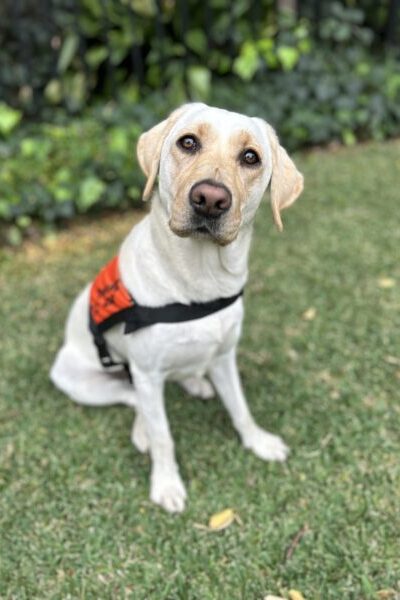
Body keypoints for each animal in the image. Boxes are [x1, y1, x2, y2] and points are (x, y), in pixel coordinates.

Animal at [51, 102, 304, 510]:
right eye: (188, 142)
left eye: (251, 157)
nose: (210, 199)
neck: (198, 282)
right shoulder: (148, 373)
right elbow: (163, 436)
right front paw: (166, 484)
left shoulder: (225, 356)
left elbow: (240, 408)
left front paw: (258, 441)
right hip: (84, 381)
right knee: (134, 400)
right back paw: (143, 430)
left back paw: (196, 382)